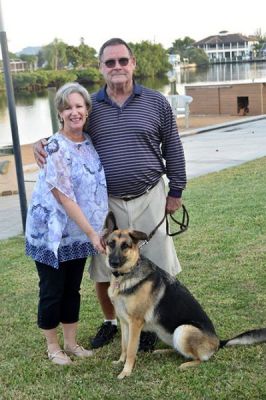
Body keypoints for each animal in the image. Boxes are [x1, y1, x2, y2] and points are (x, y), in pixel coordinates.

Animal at [103, 211, 266, 380]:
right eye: (111, 243)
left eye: (125, 246)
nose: (113, 262)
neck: (125, 276)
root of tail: (218, 342)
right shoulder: (124, 322)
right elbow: (124, 345)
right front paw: (120, 361)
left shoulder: (135, 323)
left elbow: (131, 349)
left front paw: (126, 371)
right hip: (168, 332)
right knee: (180, 351)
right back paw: (163, 351)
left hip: (183, 330)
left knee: (200, 359)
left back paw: (186, 364)